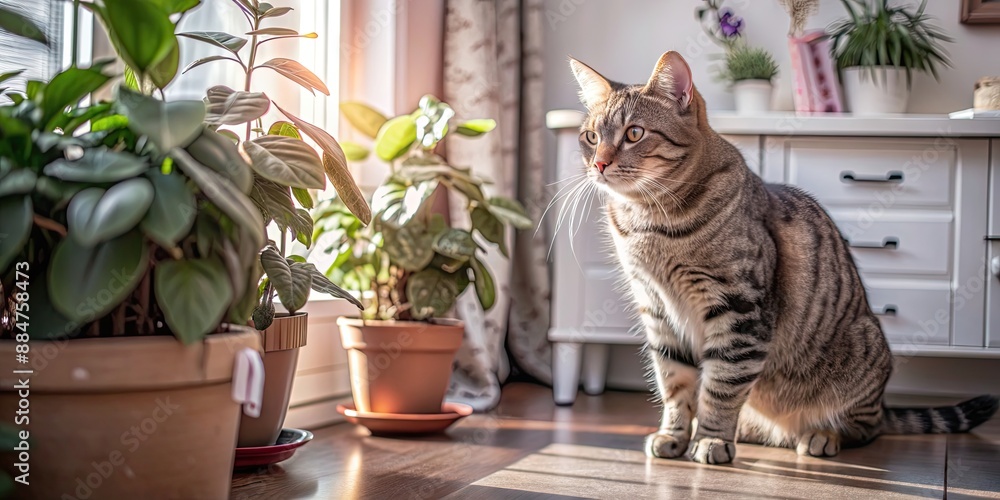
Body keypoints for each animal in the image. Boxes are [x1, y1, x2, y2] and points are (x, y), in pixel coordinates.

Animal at [572, 51, 1000, 464]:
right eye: (591, 137)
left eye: (634, 133)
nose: (599, 164)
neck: (650, 222)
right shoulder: (658, 311)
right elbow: (675, 384)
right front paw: (675, 435)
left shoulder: (740, 308)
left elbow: (722, 384)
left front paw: (710, 439)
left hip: (863, 356)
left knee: (864, 428)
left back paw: (819, 436)